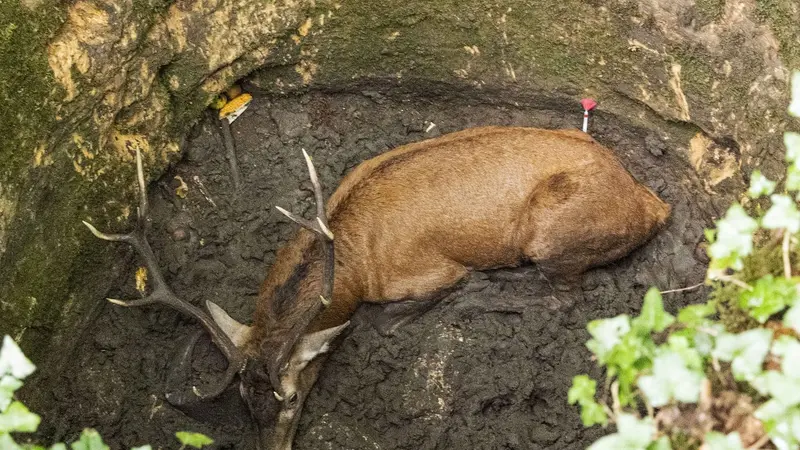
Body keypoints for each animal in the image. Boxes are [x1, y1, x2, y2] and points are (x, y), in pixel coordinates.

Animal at [84, 125, 671, 450]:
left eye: (290, 396)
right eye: (246, 403)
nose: (274, 445)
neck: (353, 265)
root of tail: (652, 205)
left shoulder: (427, 273)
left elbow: (394, 312)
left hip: (548, 233)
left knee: (561, 292)